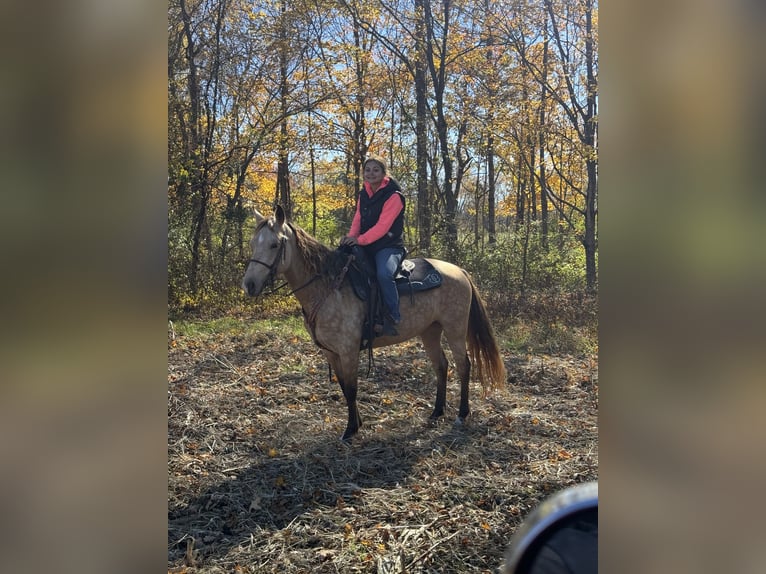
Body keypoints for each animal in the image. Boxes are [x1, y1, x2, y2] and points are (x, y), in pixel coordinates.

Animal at [242, 205, 507, 441]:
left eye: (274, 244)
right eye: (253, 244)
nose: (249, 285)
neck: (329, 287)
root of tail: (459, 271)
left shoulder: (348, 350)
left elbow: (351, 389)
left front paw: (351, 430)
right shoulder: (330, 352)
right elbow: (343, 387)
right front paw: (356, 423)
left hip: (455, 329)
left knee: (463, 366)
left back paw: (462, 414)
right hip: (430, 331)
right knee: (441, 366)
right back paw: (437, 412)